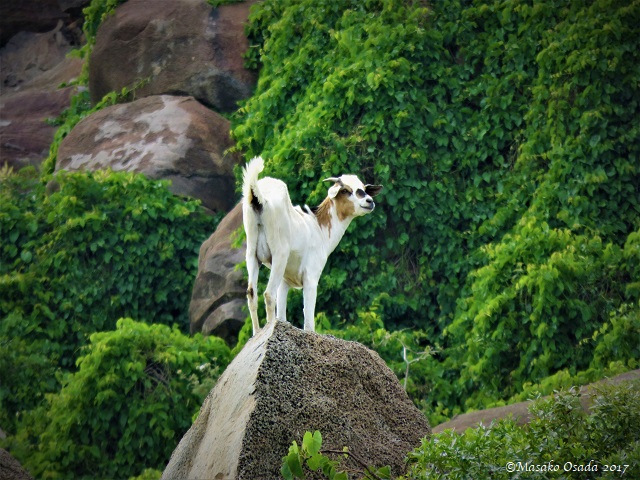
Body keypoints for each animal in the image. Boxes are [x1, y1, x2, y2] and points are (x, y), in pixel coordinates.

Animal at [242, 156, 382, 335]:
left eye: (364, 188)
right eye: (345, 190)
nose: (369, 201)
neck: (318, 227)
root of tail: (259, 198)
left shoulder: (285, 280)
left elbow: (282, 312)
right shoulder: (311, 276)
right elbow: (308, 321)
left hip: (252, 255)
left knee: (251, 294)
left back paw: (257, 333)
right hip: (279, 254)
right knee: (268, 294)